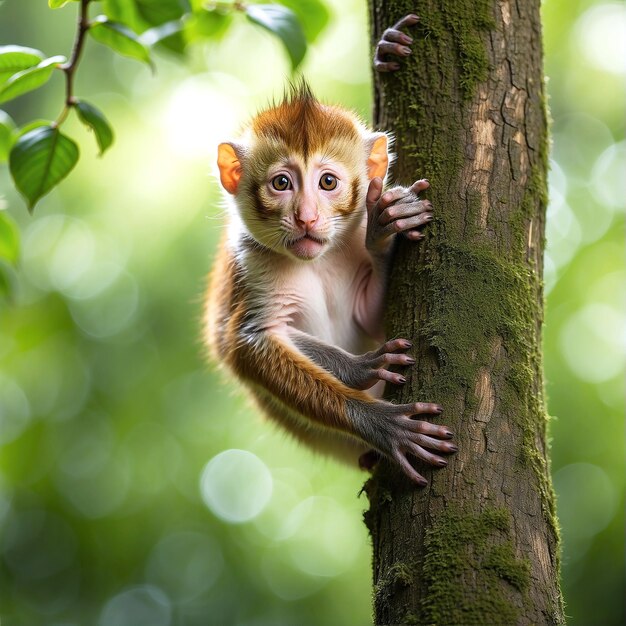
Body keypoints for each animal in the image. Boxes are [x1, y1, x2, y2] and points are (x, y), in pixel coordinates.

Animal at [205, 14, 454, 486]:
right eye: (282, 183)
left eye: (327, 182)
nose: (305, 217)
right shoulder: (250, 260)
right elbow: (249, 344)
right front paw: (369, 394)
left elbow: (368, 315)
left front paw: (385, 229)